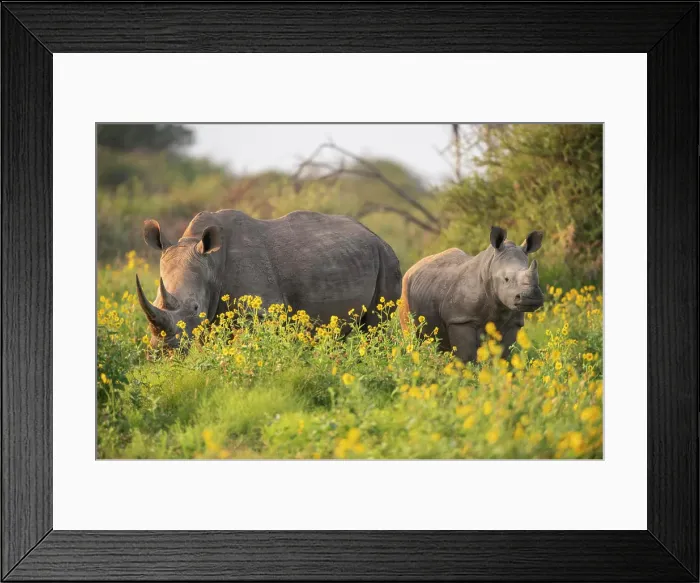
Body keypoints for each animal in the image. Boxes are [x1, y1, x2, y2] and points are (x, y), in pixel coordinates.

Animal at [136, 209, 402, 348]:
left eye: (194, 307)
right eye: (155, 300)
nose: (163, 349)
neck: (211, 261)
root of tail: (377, 236)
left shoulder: (262, 311)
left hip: (387, 259)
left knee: (374, 327)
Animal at [398, 226, 544, 364]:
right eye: (506, 279)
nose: (531, 298)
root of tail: (413, 267)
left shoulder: (514, 323)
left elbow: (501, 356)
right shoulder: (460, 319)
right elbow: (466, 357)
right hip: (405, 291)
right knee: (412, 336)